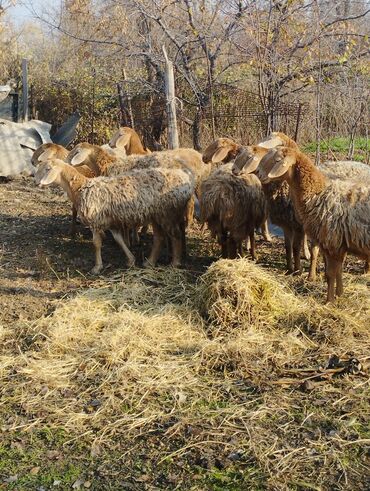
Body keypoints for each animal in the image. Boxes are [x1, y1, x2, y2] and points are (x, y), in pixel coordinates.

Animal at [35, 161, 194, 276]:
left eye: (47, 168)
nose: (35, 181)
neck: (81, 188)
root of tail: (186, 181)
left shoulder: (96, 221)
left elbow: (96, 243)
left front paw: (97, 267)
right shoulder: (110, 221)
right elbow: (119, 240)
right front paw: (130, 260)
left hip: (168, 212)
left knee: (175, 235)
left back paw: (174, 263)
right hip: (157, 214)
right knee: (159, 237)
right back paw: (149, 262)